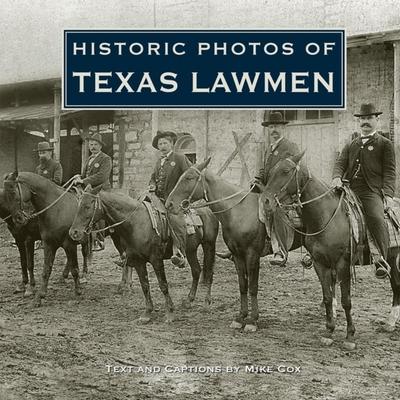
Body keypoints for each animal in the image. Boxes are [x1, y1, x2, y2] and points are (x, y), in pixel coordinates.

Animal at [3, 171, 95, 306]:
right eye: (5, 195)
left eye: (13, 192)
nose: (18, 219)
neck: (57, 209)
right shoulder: (49, 244)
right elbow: (46, 269)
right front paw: (40, 296)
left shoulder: (69, 244)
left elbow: (75, 269)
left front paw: (78, 291)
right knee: (70, 261)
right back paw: (63, 276)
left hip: (82, 240)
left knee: (84, 254)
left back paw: (84, 275)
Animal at [69, 186, 219, 324]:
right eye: (78, 206)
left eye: (87, 206)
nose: (73, 232)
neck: (136, 223)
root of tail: (208, 210)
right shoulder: (138, 261)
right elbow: (145, 285)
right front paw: (147, 313)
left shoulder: (156, 260)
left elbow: (163, 285)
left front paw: (170, 313)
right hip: (191, 250)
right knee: (196, 271)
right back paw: (189, 300)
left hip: (209, 246)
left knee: (210, 273)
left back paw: (207, 302)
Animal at [165, 158, 300, 332]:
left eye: (188, 178)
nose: (169, 204)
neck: (238, 211)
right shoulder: (237, 255)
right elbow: (243, 285)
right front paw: (240, 317)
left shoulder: (252, 255)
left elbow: (253, 286)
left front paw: (252, 321)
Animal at [260, 151, 400, 350]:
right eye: (271, 171)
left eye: (286, 171)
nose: (265, 201)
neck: (327, 216)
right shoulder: (321, 263)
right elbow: (327, 296)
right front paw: (329, 331)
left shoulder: (343, 264)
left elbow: (346, 301)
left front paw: (350, 336)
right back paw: (389, 323)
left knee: (396, 286)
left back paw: (390, 322)